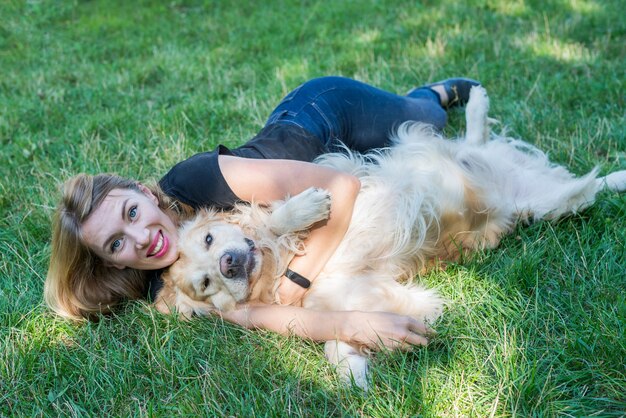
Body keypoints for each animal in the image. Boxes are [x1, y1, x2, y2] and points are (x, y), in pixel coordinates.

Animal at [154, 86, 620, 390]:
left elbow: (275, 218)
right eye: (205, 285)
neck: (281, 266)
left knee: (483, 145)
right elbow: (338, 336)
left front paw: (299, 211)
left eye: (209, 240)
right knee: (579, 187)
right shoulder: (359, 292)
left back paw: (479, 103)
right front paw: (355, 370)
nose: (229, 264)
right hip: (536, 203)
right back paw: (614, 177)